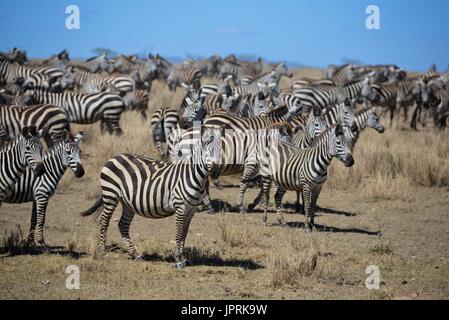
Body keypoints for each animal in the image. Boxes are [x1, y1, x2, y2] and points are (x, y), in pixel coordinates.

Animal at [80, 125, 222, 268]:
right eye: (207, 150)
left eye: (221, 150)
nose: (216, 171)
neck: (194, 176)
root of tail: (114, 157)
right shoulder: (180, 207)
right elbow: (178, 233)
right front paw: (178, 259)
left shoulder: (191, 210)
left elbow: (184, 233)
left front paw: (183, 258)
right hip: (110, 195)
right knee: (104, 221)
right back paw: (103, 252)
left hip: (127, 202)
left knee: (122, 224)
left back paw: (135, 254)